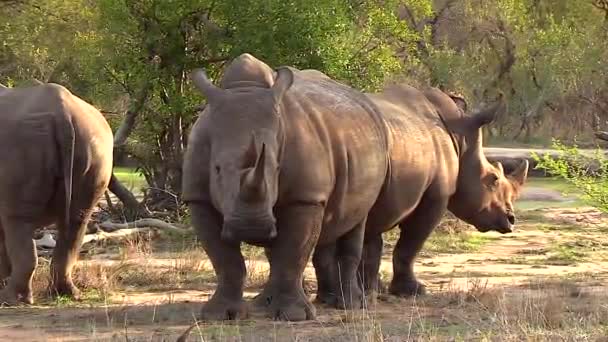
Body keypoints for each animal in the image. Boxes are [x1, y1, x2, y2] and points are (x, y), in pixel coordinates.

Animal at [0, 81, 113, 304]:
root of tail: (64, 113)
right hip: (95, 140)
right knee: (77, 221)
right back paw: (66, 294)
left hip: (22, 143)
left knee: (17, 220)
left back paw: (11, 300)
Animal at [182, 54, 390, 322]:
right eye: (216, 169)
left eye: (278, 167)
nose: (250, 227)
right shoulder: (198, 197)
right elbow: (225, 259)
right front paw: (219, 315)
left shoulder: (305, 197)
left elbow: (292, 253)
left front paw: (294, 316)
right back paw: (267, 304)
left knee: (356, 222)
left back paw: (351, 306)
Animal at [314, 84, 528, 306]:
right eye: (493, 179)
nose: (511, 220)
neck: (460, 139)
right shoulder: (435, 196)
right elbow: (410, 245)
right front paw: (413, 291)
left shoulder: (382, 197)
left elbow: (373, 245)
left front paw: (373, 291)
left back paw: (326, 298)